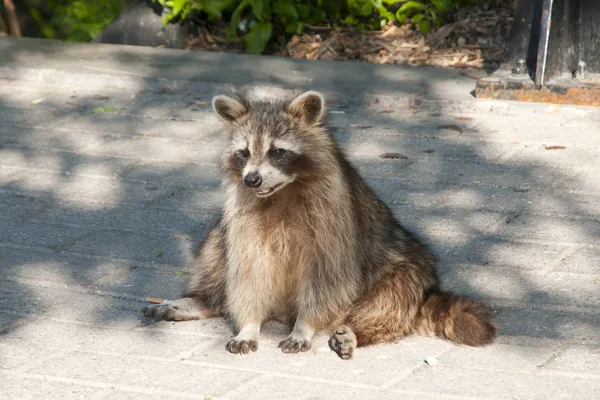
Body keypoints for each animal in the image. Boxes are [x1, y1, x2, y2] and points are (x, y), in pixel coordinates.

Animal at [142, 90, 496, 360]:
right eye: (243, 153)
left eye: (277, 151)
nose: (251, 179)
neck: (281, 191)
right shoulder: (246, 215)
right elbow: (248, 270)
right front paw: (248, 324)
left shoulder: (333, 221)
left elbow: (327, 276)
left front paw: (305, 326)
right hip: (229, 229)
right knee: (219, 244)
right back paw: (203, 301)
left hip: (406, 270)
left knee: (390, 301)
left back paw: (357, 330)